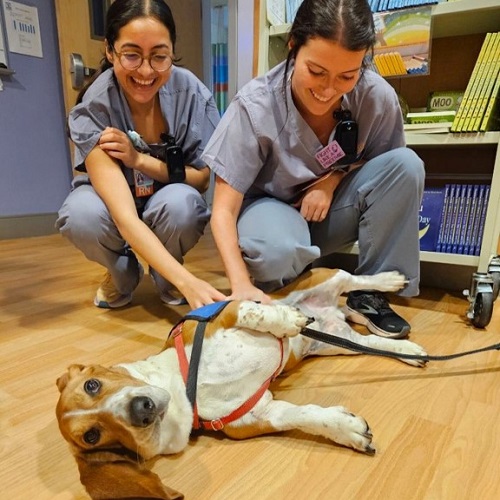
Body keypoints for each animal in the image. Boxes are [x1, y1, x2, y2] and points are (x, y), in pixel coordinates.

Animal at [56, 270, 428, 500]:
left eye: (92, 385)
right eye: (92, 436)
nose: (141, 410)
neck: (186, 390)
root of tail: (331, 313)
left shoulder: (227, 311)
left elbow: (253, 311)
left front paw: (285, 319)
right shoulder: (263, 414)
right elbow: (305, 416)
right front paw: (345, 429)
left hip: (326, 279)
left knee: (351, 277)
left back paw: (388, 280)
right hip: (340, 342)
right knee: (369, 341)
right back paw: (408, 351)